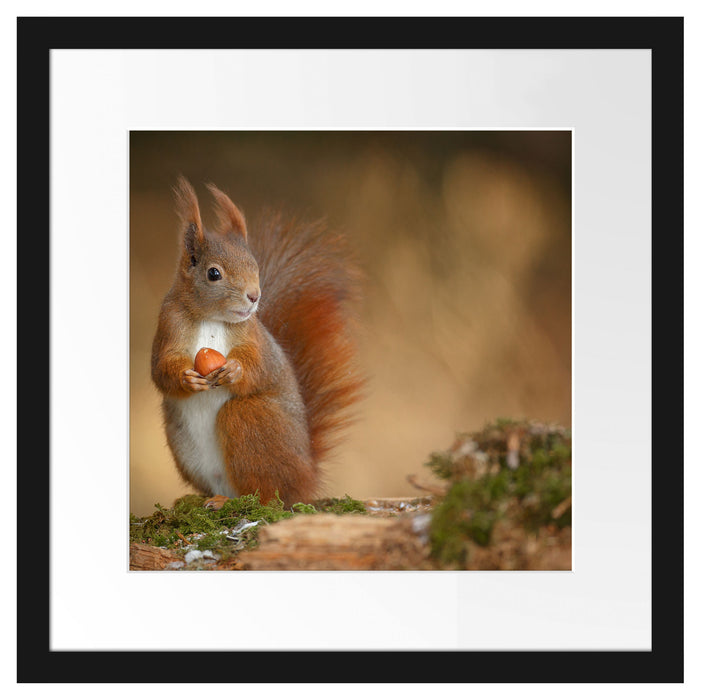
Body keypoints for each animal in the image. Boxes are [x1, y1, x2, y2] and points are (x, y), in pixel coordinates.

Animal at [151, 177, 364, 509]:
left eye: (255, 266)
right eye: (214, 273)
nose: (254, 296)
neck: (211, 318)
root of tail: (306, 478)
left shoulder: (254, 337)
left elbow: (258, 365)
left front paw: (235, 371)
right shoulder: (168, 326)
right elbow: (161, 369)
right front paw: (186, 378)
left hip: (251, 418)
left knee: (266, 494)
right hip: (184, 445)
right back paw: (213, 499)